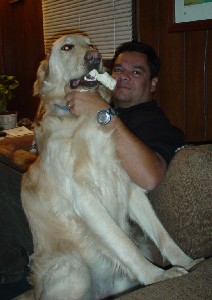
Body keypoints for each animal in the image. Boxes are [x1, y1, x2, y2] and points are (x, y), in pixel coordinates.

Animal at [15, 34, 202, 298]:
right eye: (66, 47)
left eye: (91, 44)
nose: (94, 57)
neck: (80, 119)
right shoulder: (84, 198)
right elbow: (124, 244)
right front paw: (157, 276)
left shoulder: (130, 187)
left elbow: (161, 234)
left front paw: (187, 263)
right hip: (75, 271)